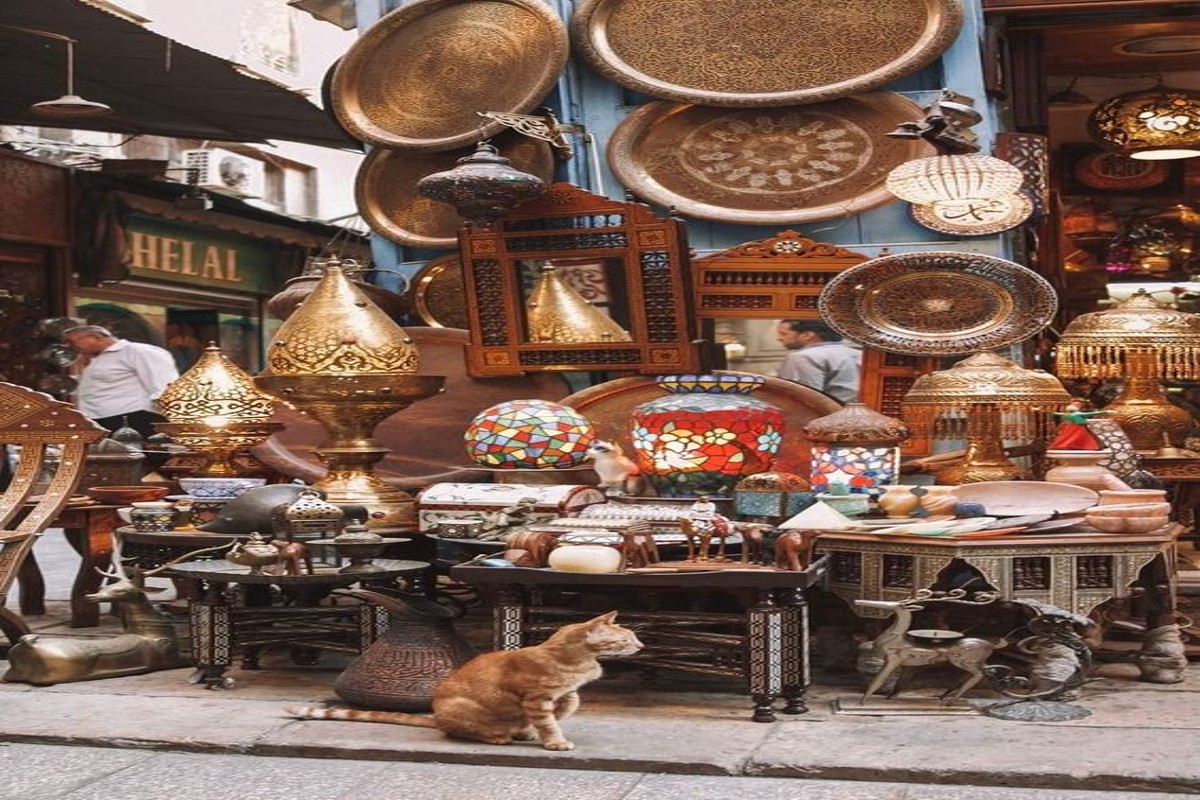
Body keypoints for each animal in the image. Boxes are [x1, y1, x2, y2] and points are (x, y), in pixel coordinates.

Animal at [283, 614, 638, 753]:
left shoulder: (556, 697)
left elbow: (569, 703)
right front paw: (554, 741)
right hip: (460, 710)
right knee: (458, 731)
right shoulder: (536, 698)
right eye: (626, 638)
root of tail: (437, 714)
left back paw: (519, 731)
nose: (642, 645)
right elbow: (549, 721)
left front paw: (542, 724)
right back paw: (497, 736)